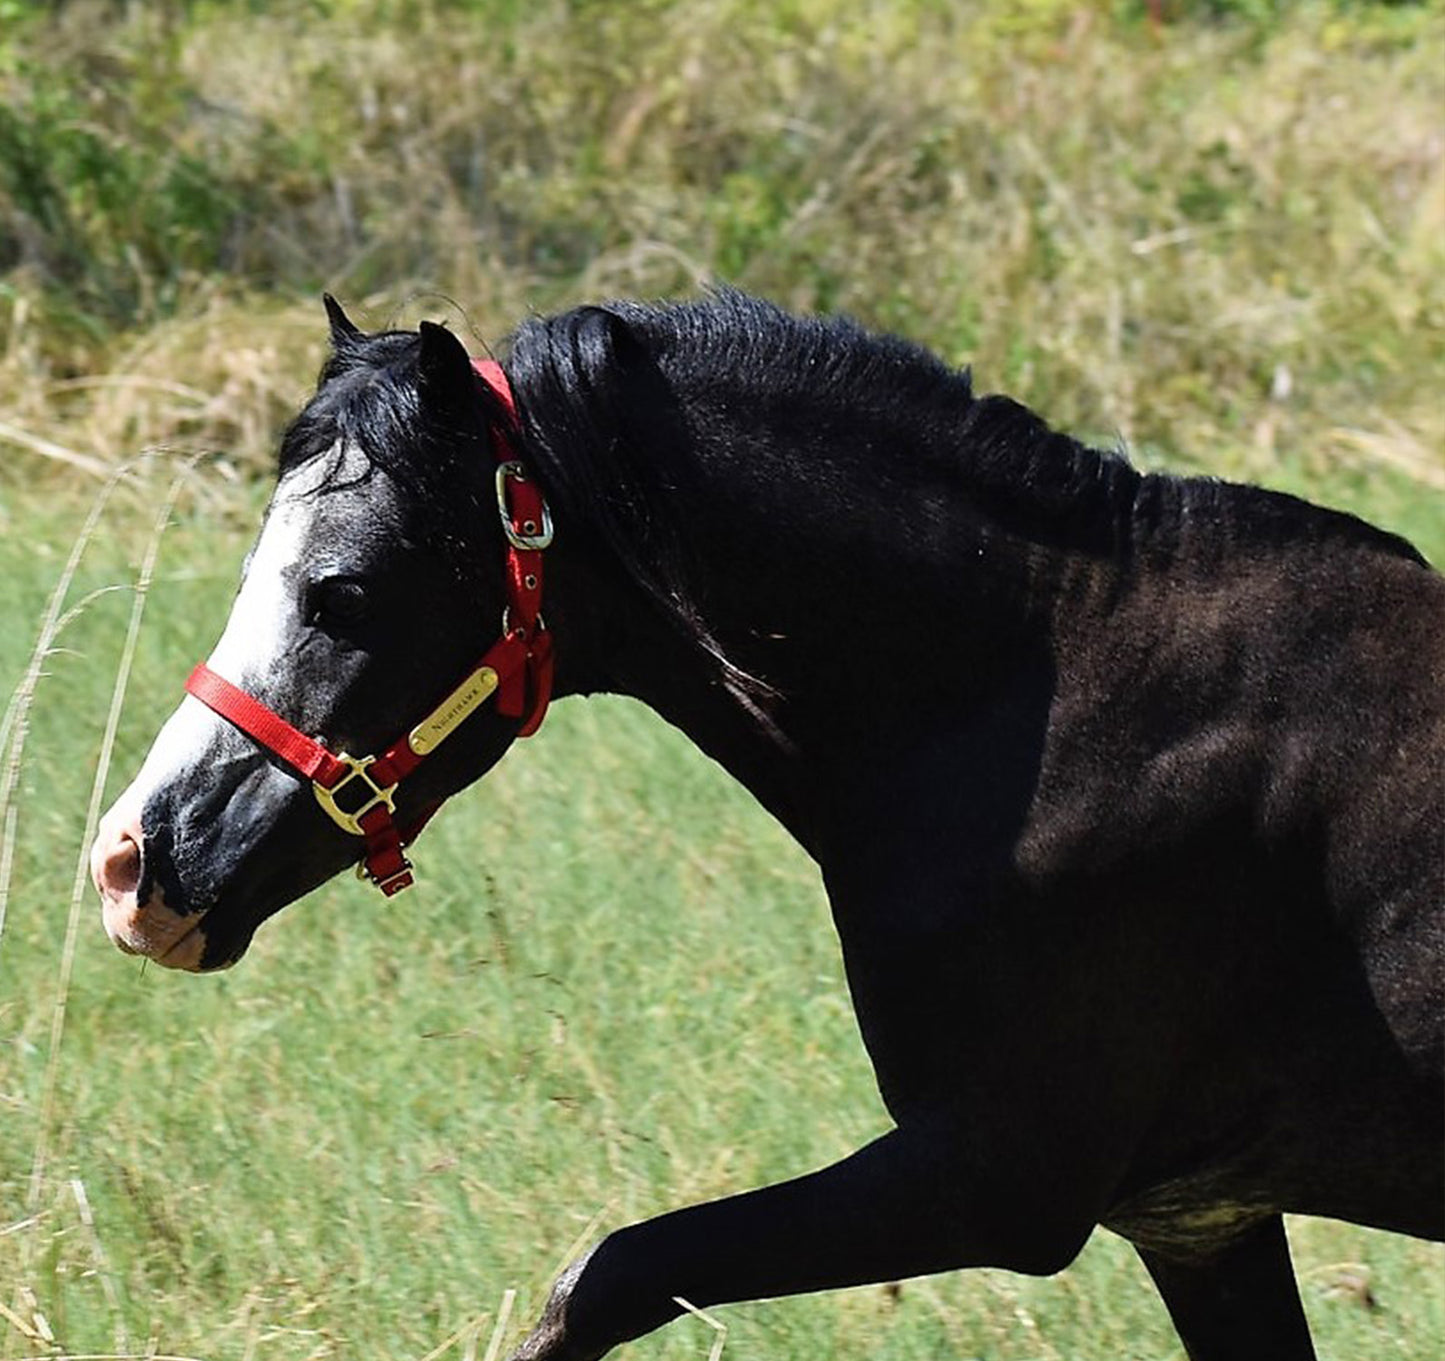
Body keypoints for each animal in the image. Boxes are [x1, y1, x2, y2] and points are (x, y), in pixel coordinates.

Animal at [93, 293, 1445, 1361]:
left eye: (342, 591)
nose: (129, 861)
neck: (1052, 704)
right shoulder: (1201, 1223)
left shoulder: (996, 1179)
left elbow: (608, 1276)